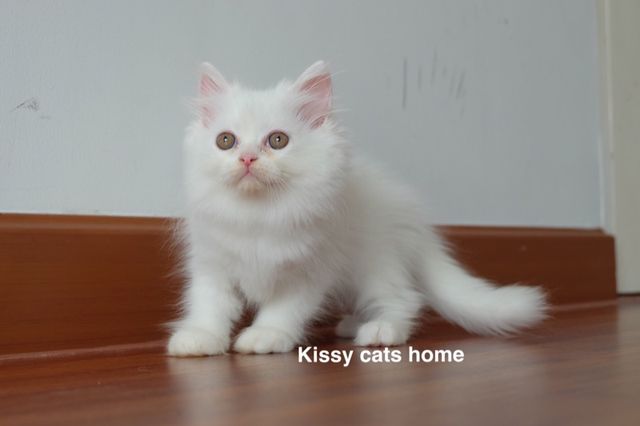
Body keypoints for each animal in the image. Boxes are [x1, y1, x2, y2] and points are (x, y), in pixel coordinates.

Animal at [167, 61, 547, 356]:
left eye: (277, 140)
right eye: (225, 141)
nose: (247, 159)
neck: (258, 214)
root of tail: (413, 220)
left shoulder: (310, 268)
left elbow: (284, 308)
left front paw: (266, 335)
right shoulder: (212, 264)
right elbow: (208, 304)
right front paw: (200, 338)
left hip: (375, 261)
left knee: (404, 298)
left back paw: (381, 330)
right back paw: (353, 323)